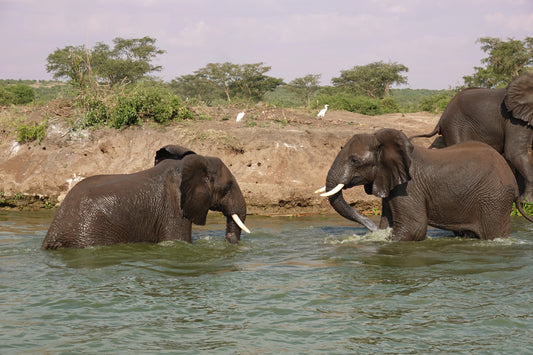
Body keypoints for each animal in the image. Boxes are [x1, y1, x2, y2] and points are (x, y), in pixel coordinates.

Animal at [316, 128, 532, 242]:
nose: (371, 229)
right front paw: (381, 232)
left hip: (494, 198)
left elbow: (414, 229)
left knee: (492, 233)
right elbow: (389, 222)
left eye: (354, 160)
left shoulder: (409, 188)